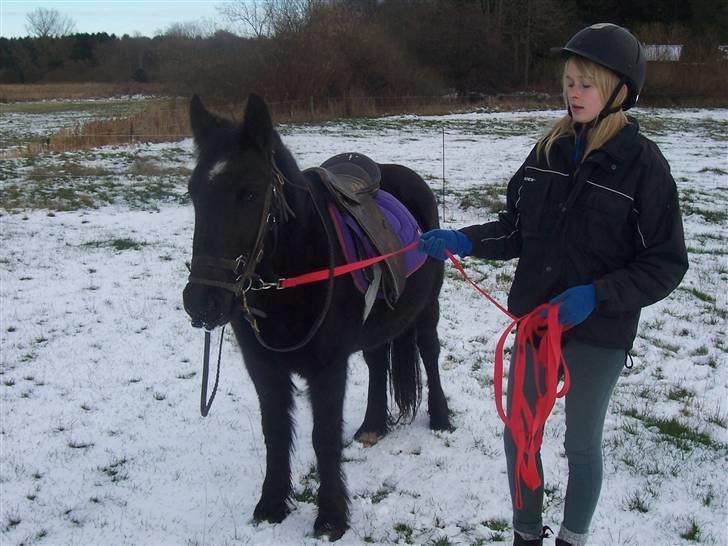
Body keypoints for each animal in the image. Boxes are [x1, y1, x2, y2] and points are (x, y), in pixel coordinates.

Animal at [182, 93, 451, 540]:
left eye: (250, 194)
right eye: (194, 193)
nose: (201, 301)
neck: (292, 275)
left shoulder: (327, 369)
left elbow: (323, 436)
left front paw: (330, 518)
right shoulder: (265, 370)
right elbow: (275, 432)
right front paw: (272, 505)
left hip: (427, 306)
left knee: (429, 352)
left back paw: (442, 418)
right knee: (378, 362)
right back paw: (372, 424)